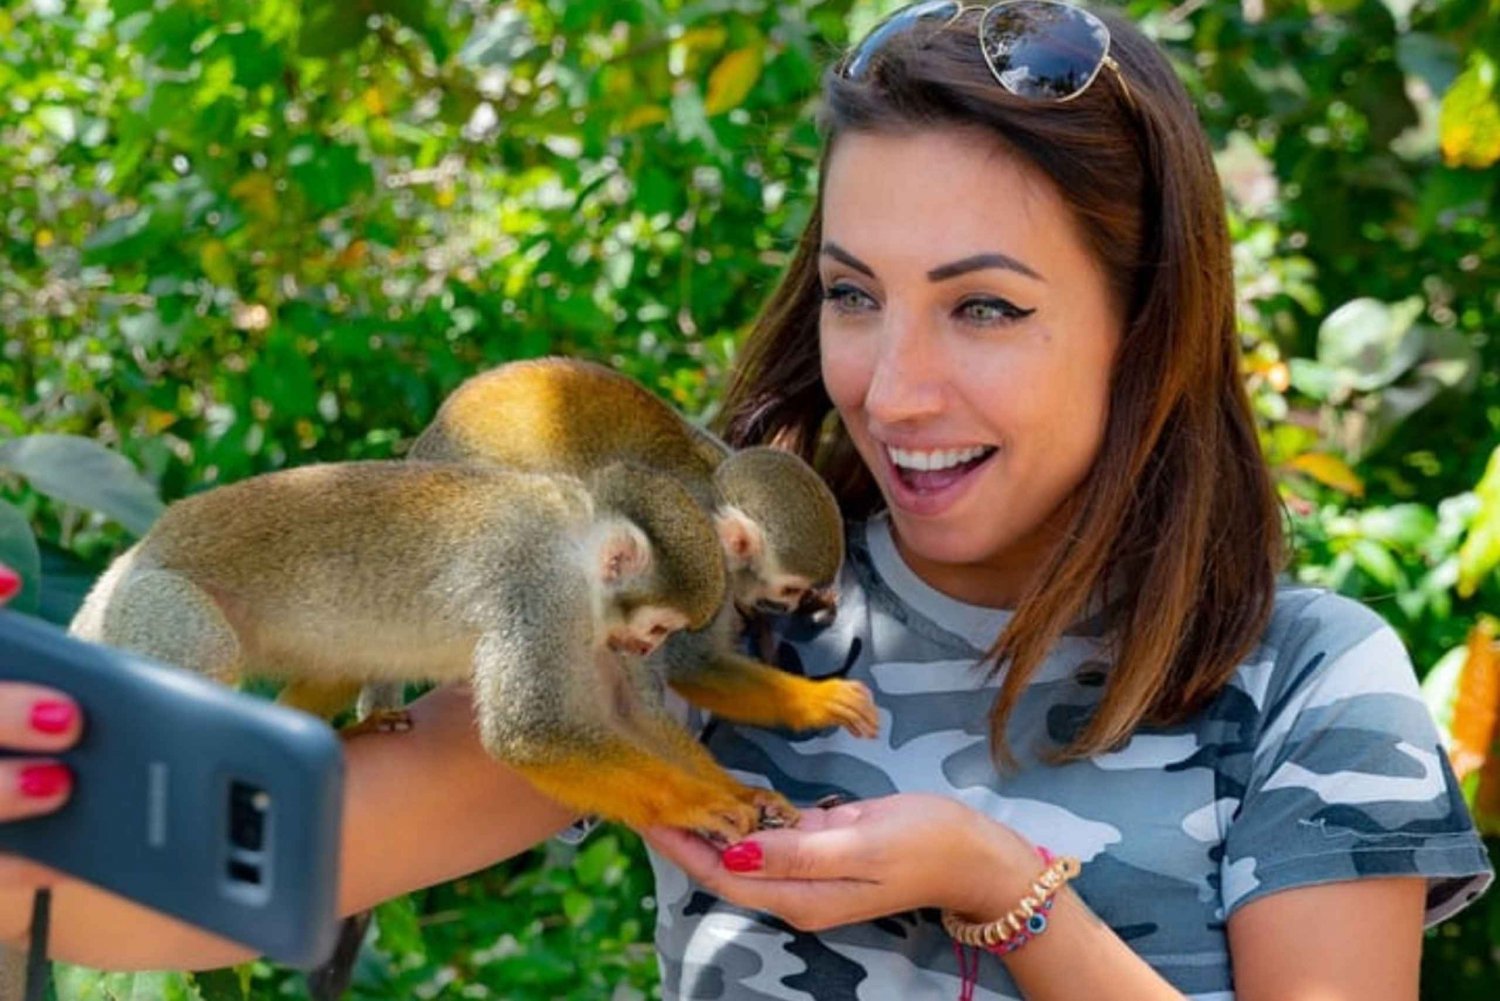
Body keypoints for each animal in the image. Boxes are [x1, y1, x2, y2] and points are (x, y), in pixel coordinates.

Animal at [70, 465, 798, 840]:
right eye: (657, 626)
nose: (642, 645)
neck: (577, 540)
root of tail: (128, 560)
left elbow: (629, 717)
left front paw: (738, 791)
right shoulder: (539, 590)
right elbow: (530, 732)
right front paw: (697, 805)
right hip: (154, 606)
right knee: (206, 650)